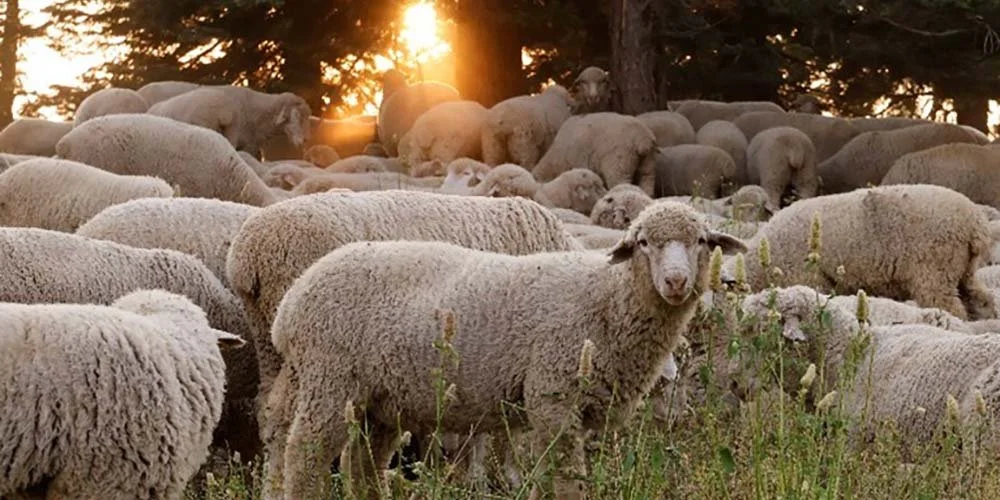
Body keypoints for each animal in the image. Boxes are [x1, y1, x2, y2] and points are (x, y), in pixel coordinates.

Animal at [262, 200, 747, 498]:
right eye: (644, 242)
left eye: (701, 242)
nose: (676, 282)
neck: (607, 297)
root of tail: (292, 301)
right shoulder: (553, 396)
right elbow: (567, 483)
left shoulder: (569, 412)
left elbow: (548, 479)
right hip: (330, 378)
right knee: (305, 455)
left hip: (381, 398)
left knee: (361, 464)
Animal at [736, 184, 997, 320]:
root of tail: (976, 224)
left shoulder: (808, 278)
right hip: (963, 272)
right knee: (983, 299)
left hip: (934, 272)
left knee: (951, 307)